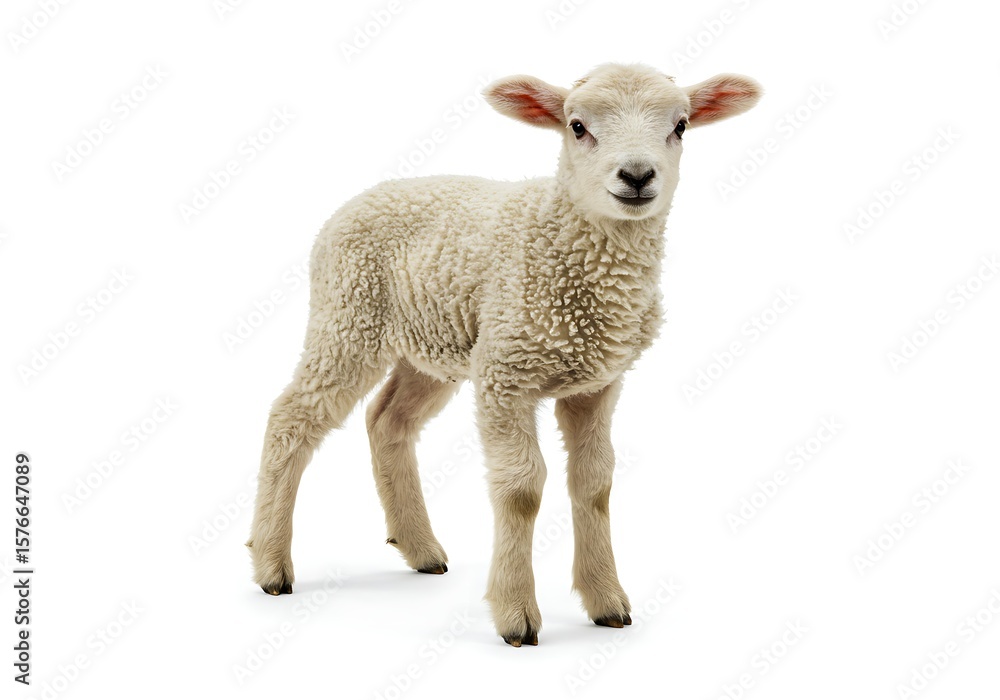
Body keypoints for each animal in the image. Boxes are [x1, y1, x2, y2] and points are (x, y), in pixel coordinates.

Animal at [247, 63, 761, 646]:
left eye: (680, 126)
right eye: (577, 126)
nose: (636, 175)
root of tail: (364, 197)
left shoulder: (596, 384)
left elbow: (595, 483)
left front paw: (606, 600)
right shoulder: (505, 373)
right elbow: (521, 490)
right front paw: (516, 613)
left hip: (434, 344)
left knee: (387, 419)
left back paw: (420, 549)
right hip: (348, 317)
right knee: (291, 417)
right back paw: (271, 565)